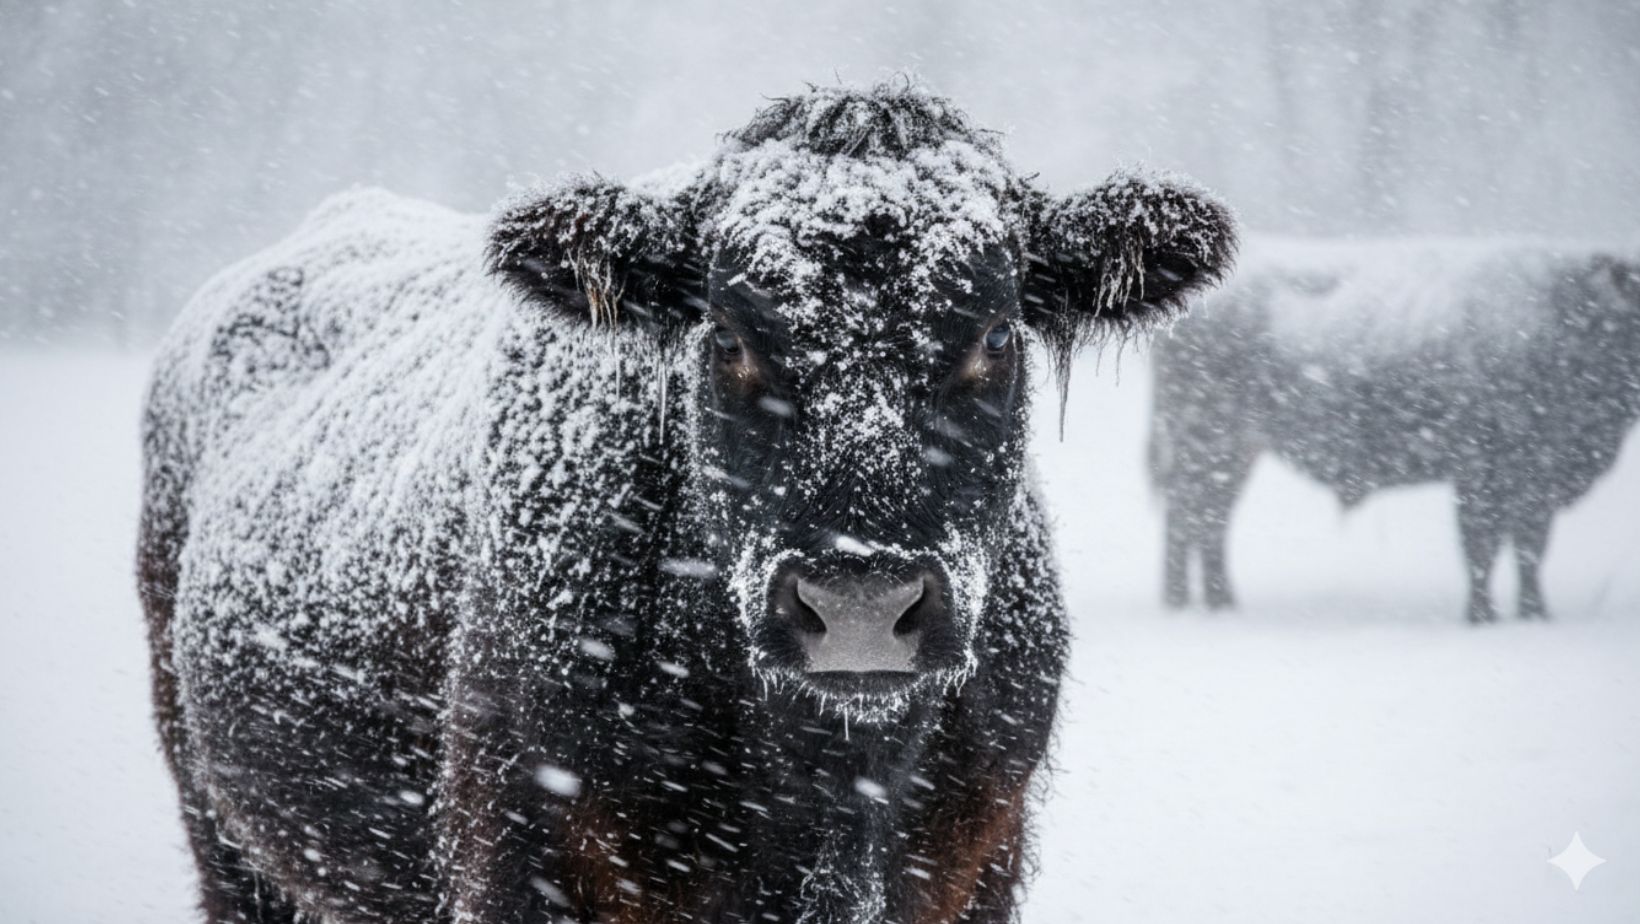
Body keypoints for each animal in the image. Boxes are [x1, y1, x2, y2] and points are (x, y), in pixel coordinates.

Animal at [1150, 237, 1640, 624]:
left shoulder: (1538, 486)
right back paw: (1202, 604)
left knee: (1204, 519)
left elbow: (1529, 551)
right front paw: (1482, 617)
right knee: (1194, 518)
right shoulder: (1481, 477)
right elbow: (1482, 548)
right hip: (1210, 443)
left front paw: (1535, 615)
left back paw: (1207, 604)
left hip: (1232, 452)